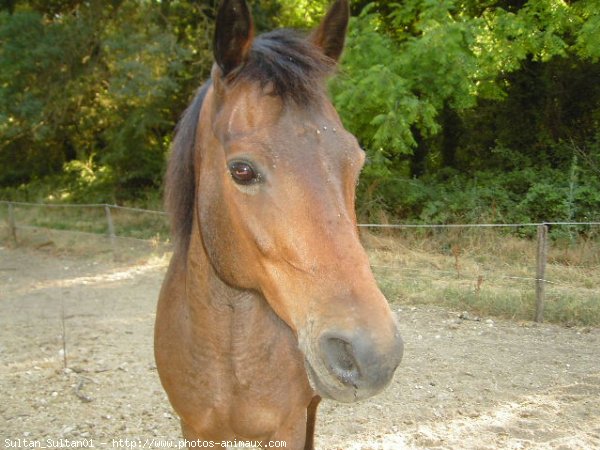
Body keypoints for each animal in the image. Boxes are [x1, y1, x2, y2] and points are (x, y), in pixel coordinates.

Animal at [155, 1, 404, 448]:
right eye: (241, 170)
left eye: (356, 162)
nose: (374, 354)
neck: (228, 360)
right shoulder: (195, 430)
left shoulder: (287, 426)